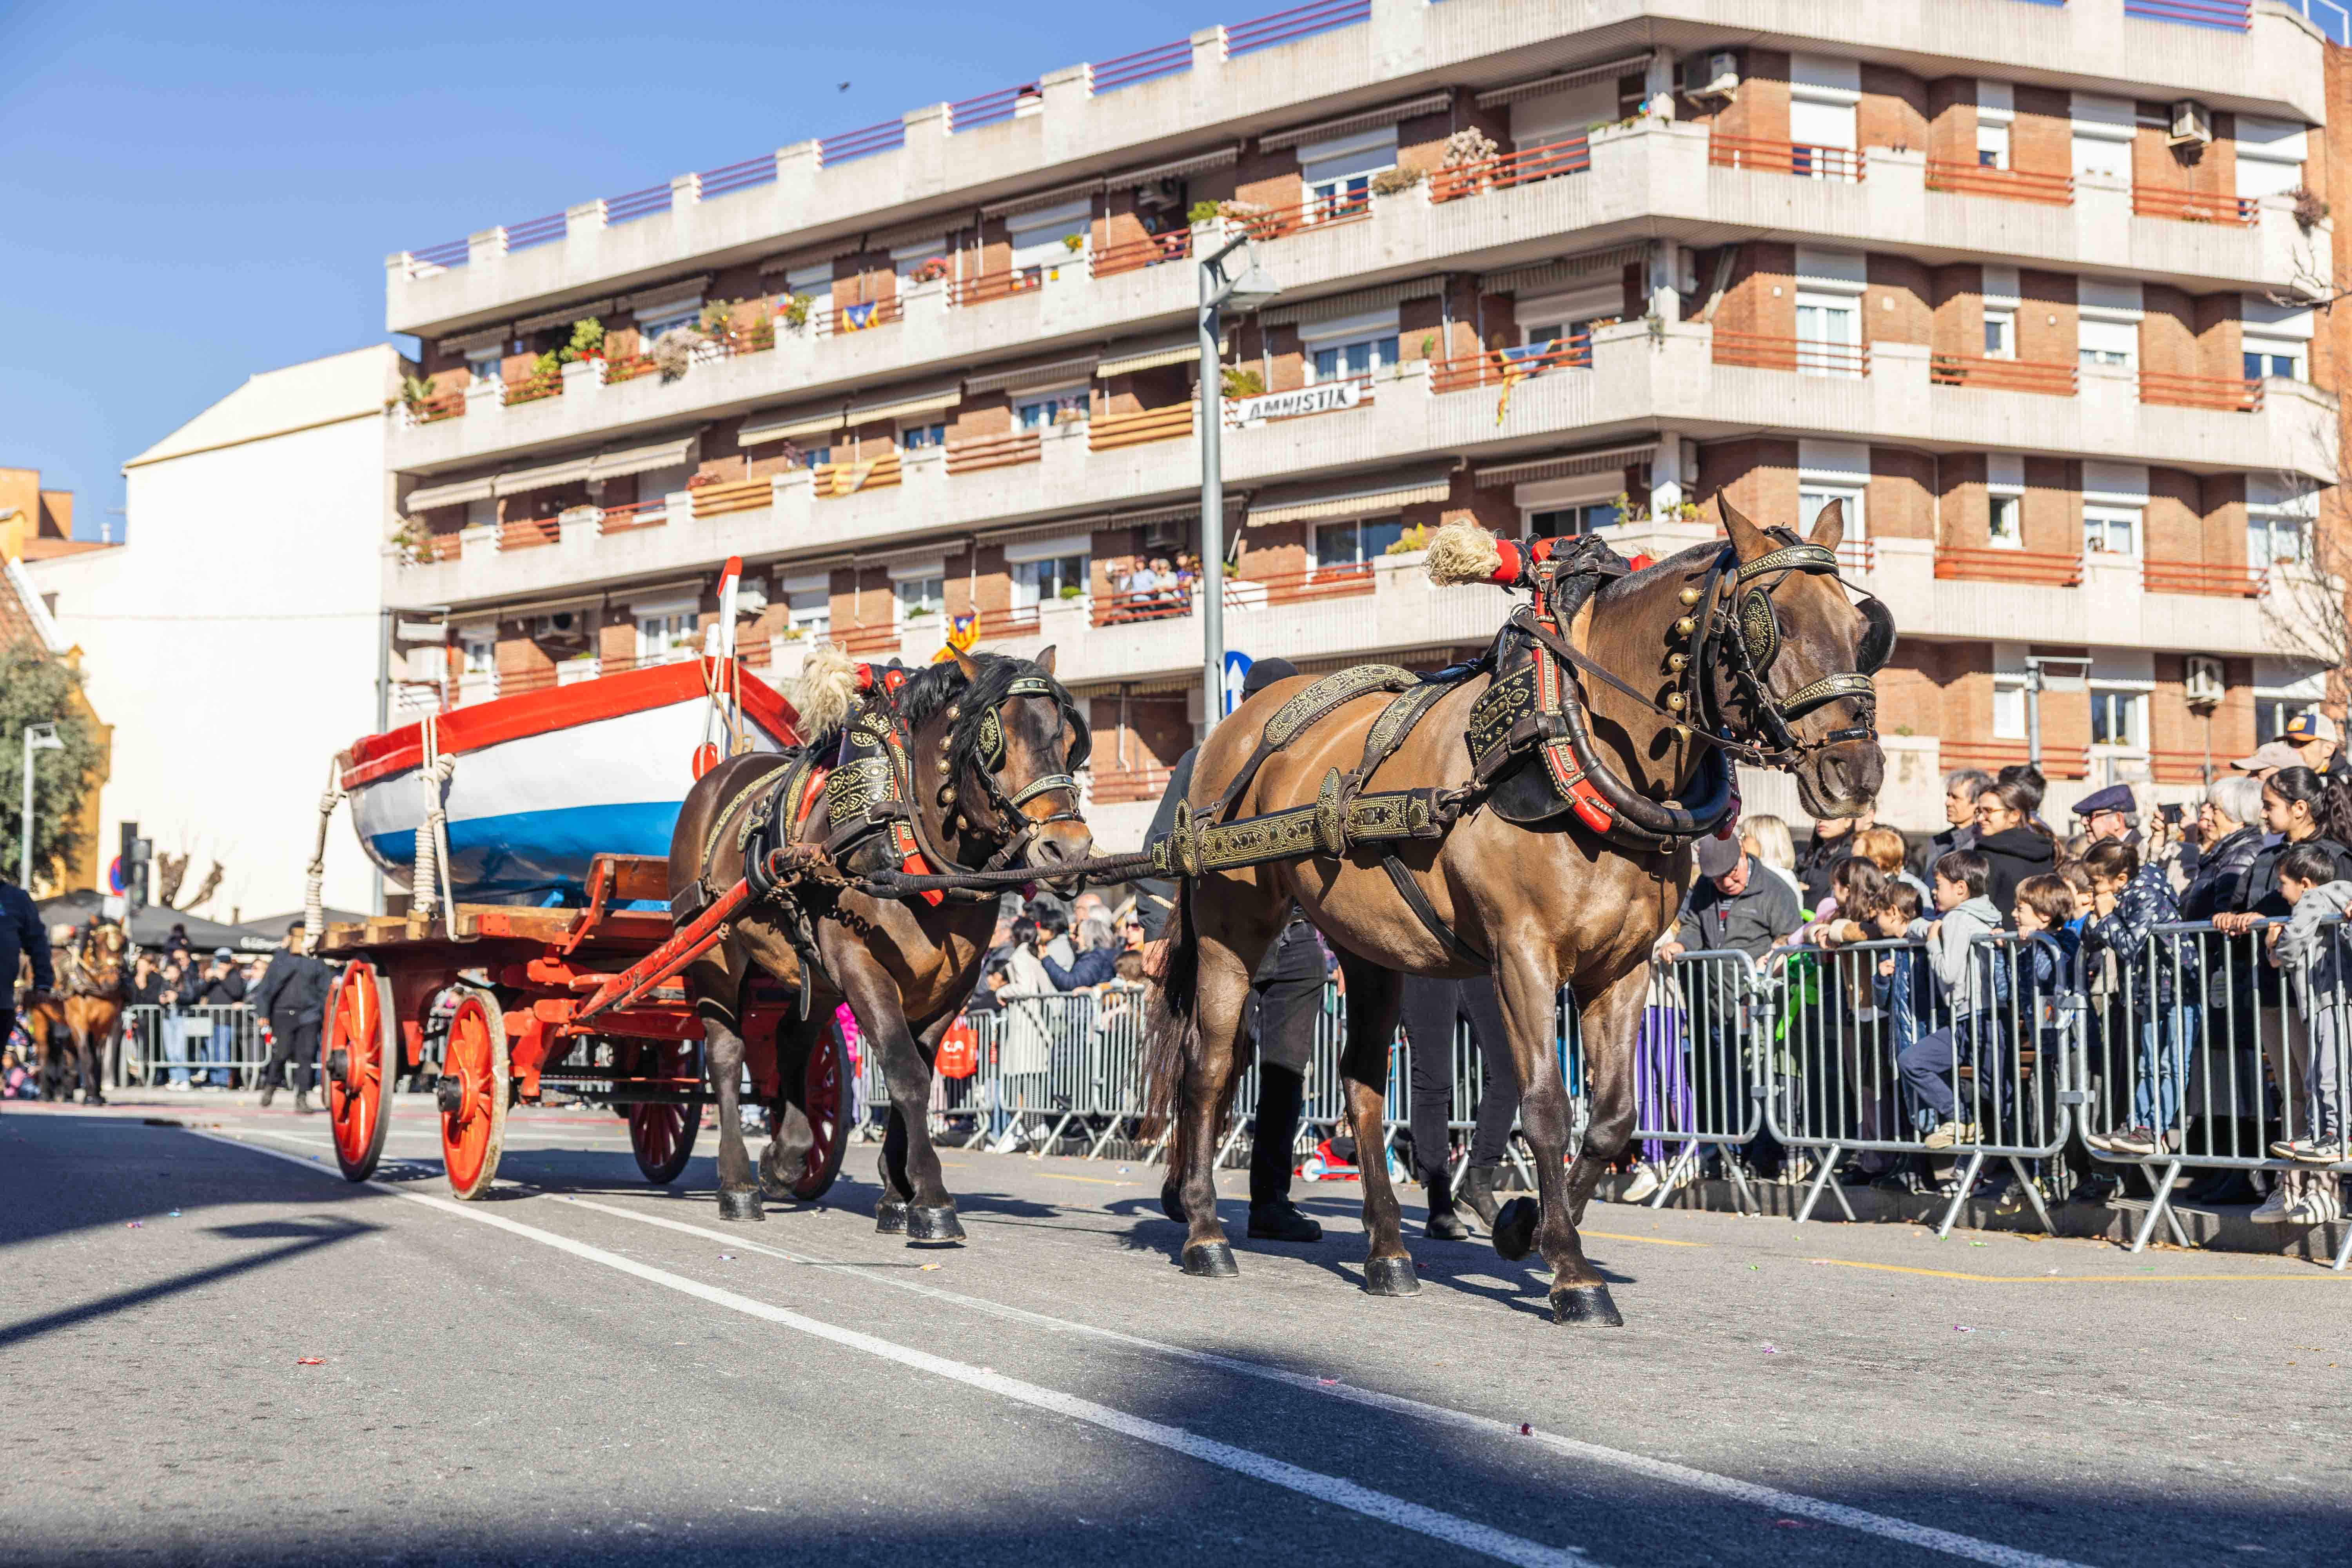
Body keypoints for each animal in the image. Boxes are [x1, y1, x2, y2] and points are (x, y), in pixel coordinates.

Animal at [673, 644, 1091, 1232]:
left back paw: (787, 1157)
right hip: (714, 950)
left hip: (814, 974)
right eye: (998, 742)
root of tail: (722, 770)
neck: (904, 830)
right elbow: (905, 1072)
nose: (1069, 849)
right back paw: (737, 1183)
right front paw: (932, 1200)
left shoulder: (952, 986)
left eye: (1070, 740)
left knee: (793, 1042)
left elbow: (915, 1072)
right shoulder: (861, 964)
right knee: (727, 1055)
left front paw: (898, 1192)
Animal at [1143, 501, 1891, 1326]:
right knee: (1209, 1068)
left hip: (1369, 950)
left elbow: (1612, 1117)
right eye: (1772, 623)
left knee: (1363, 1085)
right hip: (1231, 929)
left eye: (1861, 627)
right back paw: (1206, 1231)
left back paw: (1388, 1252)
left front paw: (1523, 1223)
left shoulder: (1623, 967)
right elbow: (1546, 1107)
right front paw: (1571, 1271)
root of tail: (1236, 728)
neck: (1572, 737)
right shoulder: (1524, 956)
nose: (1856, 771)